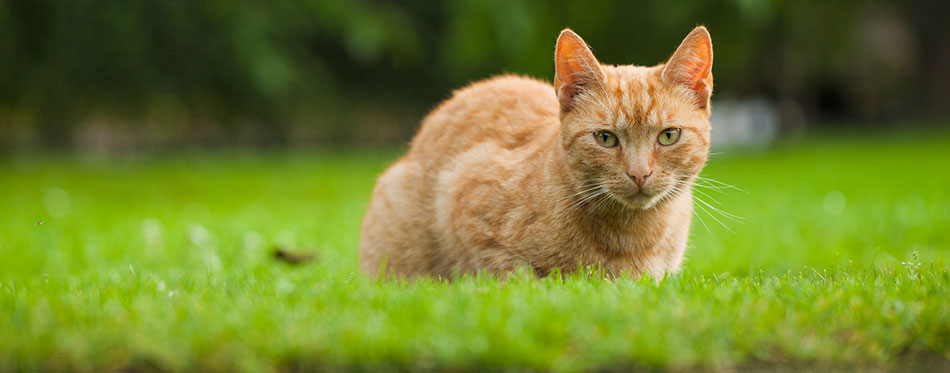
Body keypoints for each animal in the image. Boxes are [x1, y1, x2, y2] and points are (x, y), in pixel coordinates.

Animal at [358, 27, 712, 278]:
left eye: (668, 136)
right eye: (606, 138)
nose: (639, 173)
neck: (632, 236)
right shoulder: (461, 193)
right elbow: (518, 276)